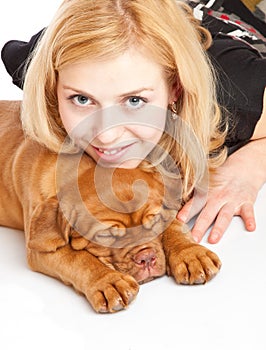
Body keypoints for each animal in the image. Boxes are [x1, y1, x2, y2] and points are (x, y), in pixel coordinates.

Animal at [0, 100, 221, 314]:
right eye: (105, 235)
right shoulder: (41, 250)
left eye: (154, 221)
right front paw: (109, 282)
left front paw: (191, 253)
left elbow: (173, 225)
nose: (146, 258)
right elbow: (78, 259)